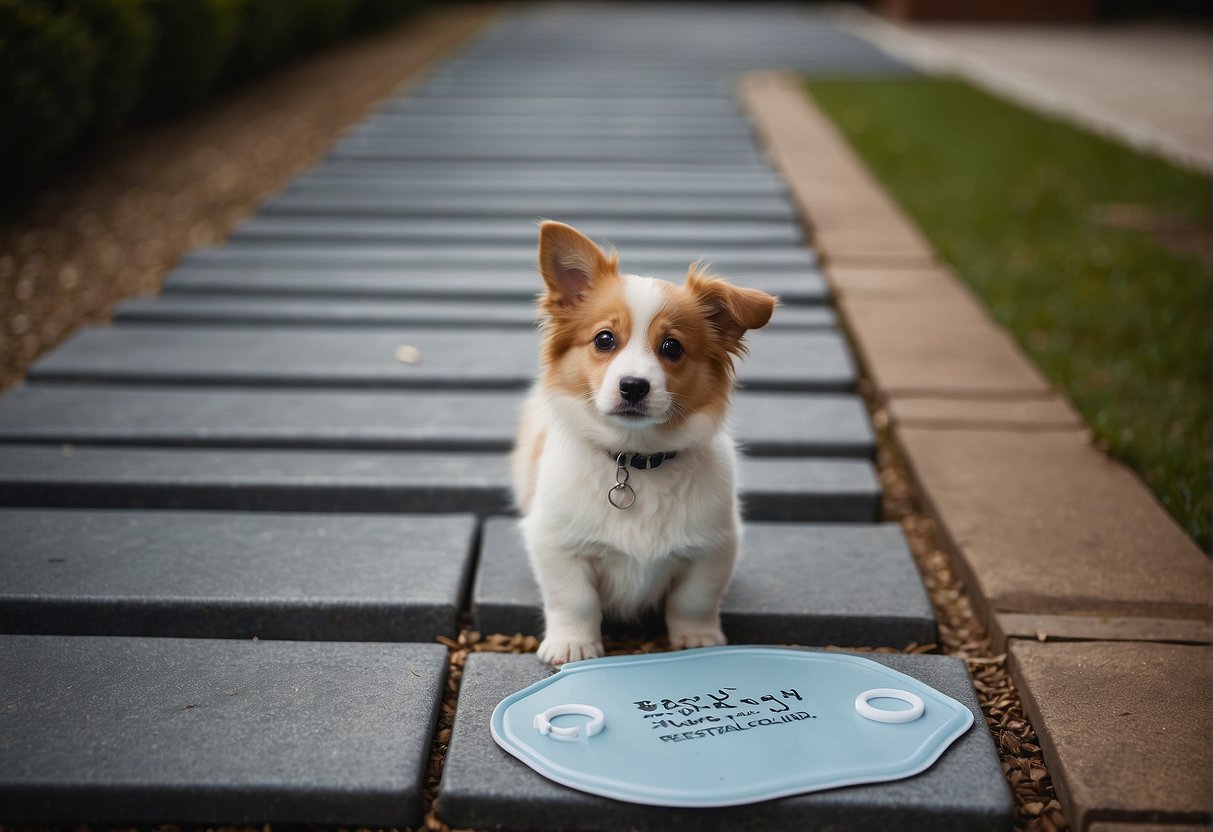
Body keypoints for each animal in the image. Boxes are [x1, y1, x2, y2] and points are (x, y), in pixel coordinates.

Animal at [511, 221, 776, 664]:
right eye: (604, 339)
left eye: (672, 347)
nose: (633, 386)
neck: (635, 455)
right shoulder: (554, 542)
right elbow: (573, 598)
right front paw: (573, 643)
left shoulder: (715, 546)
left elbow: (694, 599)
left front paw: (697, 638)